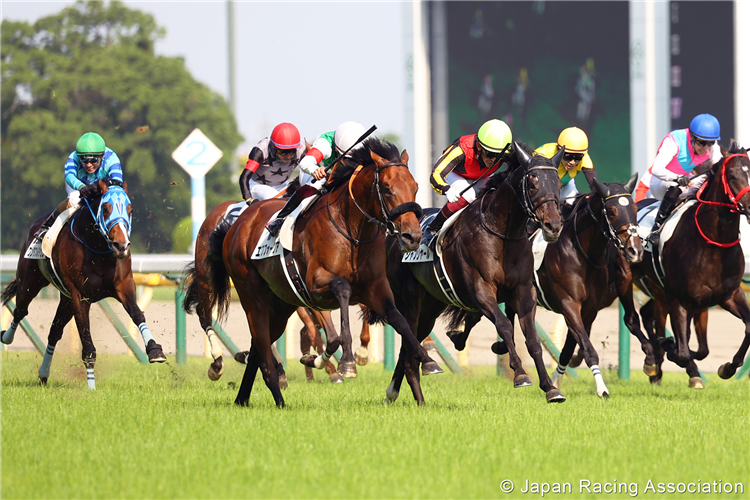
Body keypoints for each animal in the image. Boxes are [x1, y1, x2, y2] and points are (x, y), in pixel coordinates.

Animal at [0, 178, 165, 388]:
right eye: (106, 208)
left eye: (130, 209)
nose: (121, 245)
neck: (98, 248)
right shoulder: (80, 296)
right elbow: (86, 338)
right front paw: (91, 385)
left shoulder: (124, 285)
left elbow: (137, 314)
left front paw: (155, 350)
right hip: (30, 282)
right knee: (21, 310)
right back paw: (6, 337)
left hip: (65, 299)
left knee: (54, 331)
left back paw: (44, 373)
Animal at [206, 137, 440, 406]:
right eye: (387, 188)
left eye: (415, 186)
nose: (413, 237)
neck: (352, 231)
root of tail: (238, 223)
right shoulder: (315, 284)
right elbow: (342, 290)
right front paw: (347, 362)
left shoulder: (376, 289)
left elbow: (400, 321)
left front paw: (427, 358)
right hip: (252, 295)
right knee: (262, 347)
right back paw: (279, 400)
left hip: (281, 304)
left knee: (258, 347)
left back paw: (243, 398)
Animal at [384, 142, 568, 406]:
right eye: (532, 184)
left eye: (559, 184)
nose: (553, 226)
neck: (502, 234)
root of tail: (396, 233)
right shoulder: (481, 290)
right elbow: (504, 326)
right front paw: (520, 374)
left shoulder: (523, 291)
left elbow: (532, 338)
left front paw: (551, 388)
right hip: (409, 298)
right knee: (407, 336)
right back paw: (418, 385)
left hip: (431, 305)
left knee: (412, 341)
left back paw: (398, 389)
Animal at [632, 143, 748, 388]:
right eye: (732, 175)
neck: (714, 243)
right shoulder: (681, 299)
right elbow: (683, 352)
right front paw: (670, 350)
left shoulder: (729, 295)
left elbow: (706, 347)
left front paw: (727, 368)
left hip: (663, 293)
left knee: (649, 316)